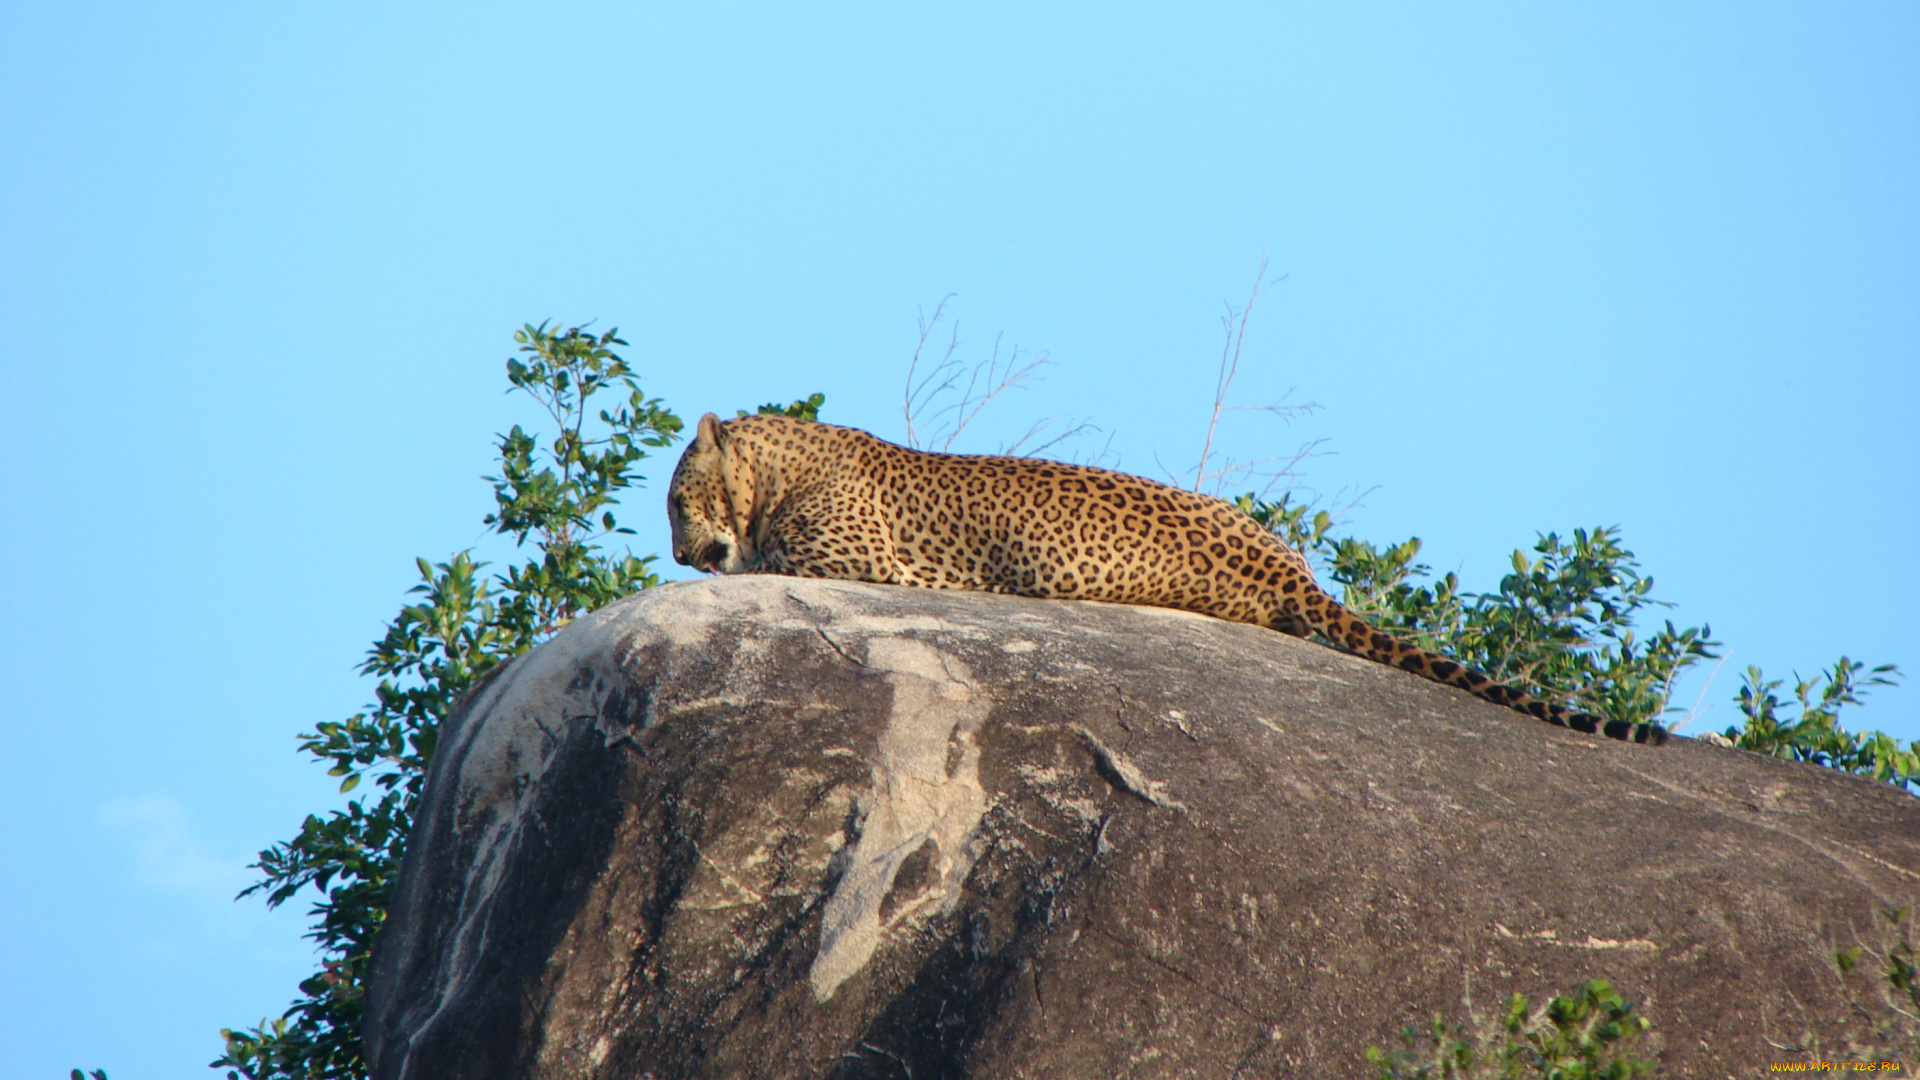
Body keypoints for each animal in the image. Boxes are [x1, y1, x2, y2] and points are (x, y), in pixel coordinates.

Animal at [672, 407, 1666, 745]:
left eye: (680, 498)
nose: (679, 553)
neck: (779, 468)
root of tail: (1286, 563)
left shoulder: (863, 559)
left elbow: (764, 559)